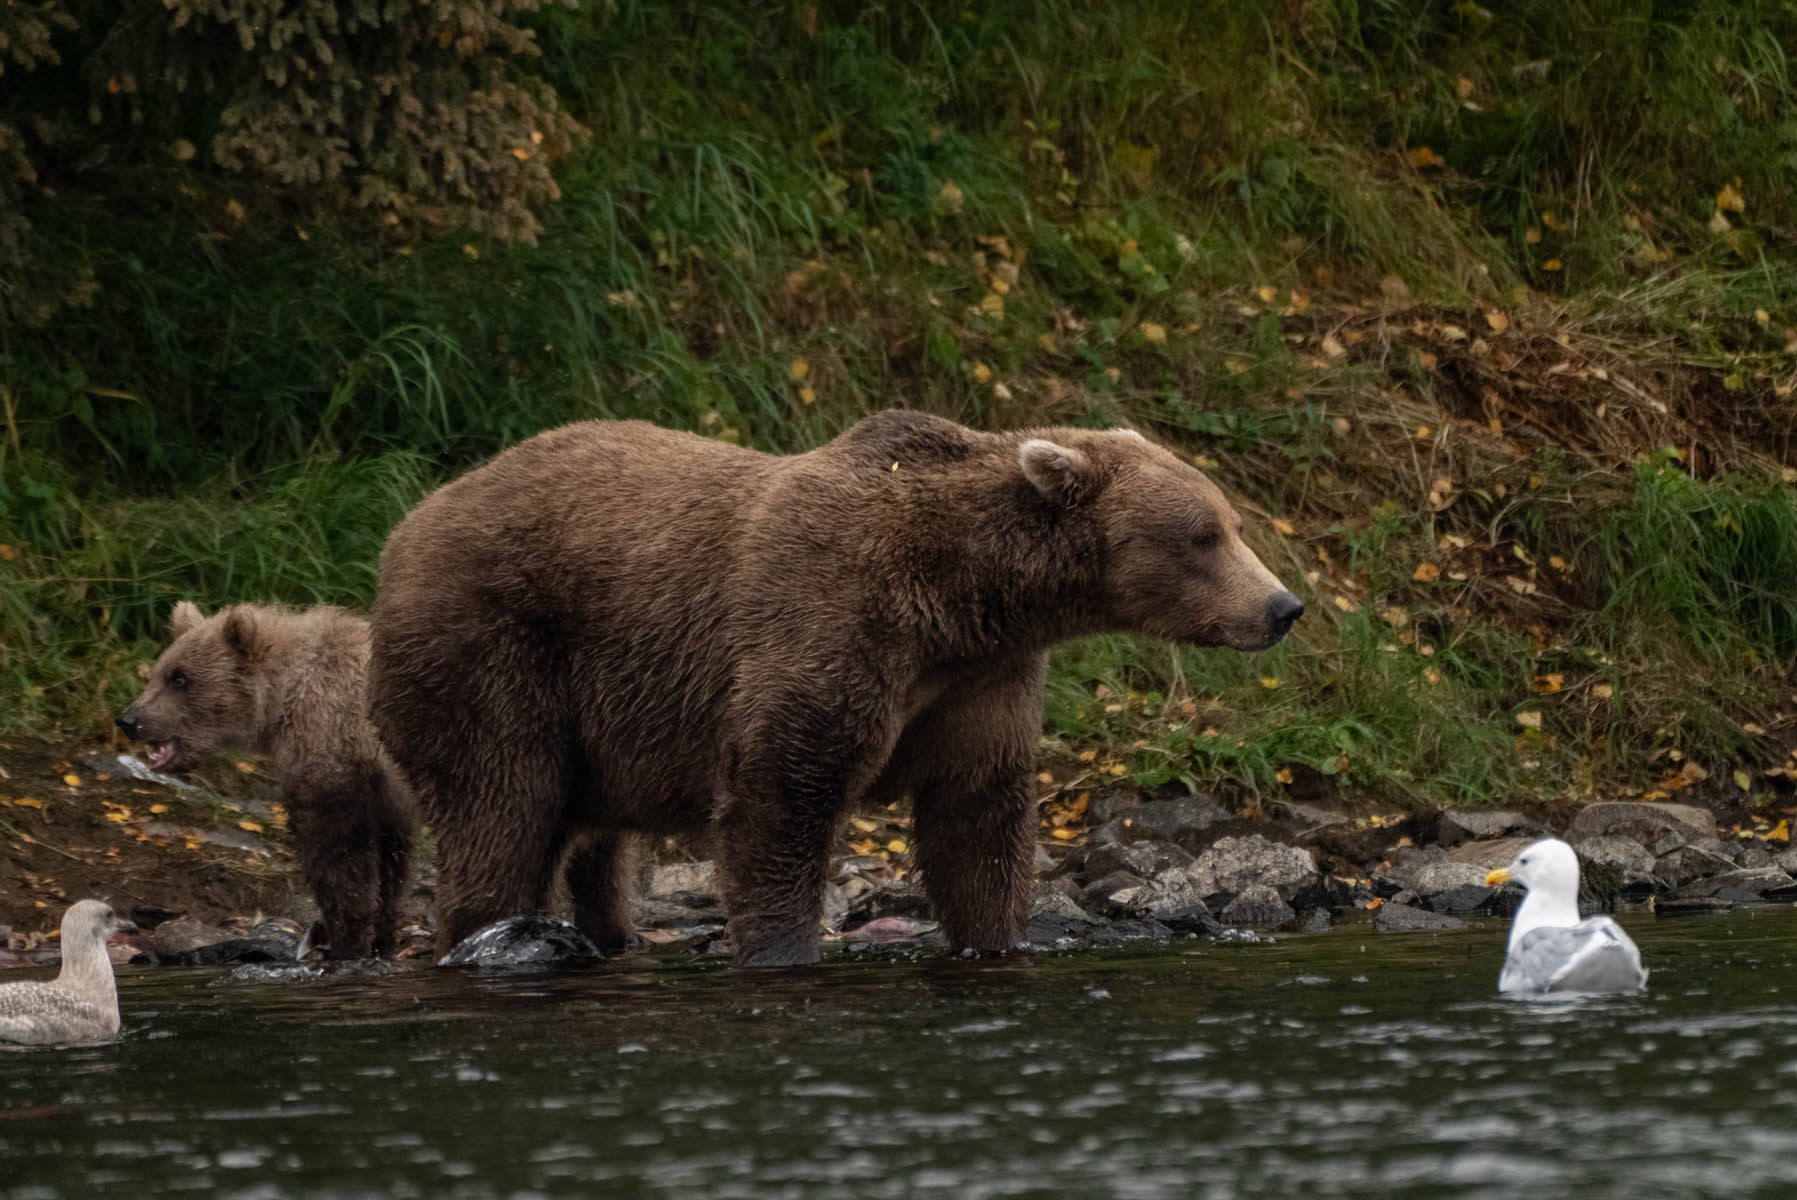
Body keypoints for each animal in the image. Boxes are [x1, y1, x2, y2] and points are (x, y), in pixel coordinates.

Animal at [117, 603, 419, 960]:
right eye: (157, 672)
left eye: (180, 677)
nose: (129, 720)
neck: (285, 695)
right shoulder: (387, 793)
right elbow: (391, 861)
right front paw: (380, 940)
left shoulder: (332, 749)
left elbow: (338, 856)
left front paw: (346, 942)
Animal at [367, 410, 1303, 966]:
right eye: (1201, 535)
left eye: (1229, 523)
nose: (1282, 606)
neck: (959, 594)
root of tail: (404, 527)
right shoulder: (825, 621)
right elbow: (781, 794)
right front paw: (781, 949)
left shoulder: (980, 682)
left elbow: (978, 819)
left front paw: (996, 937)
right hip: (496, 646)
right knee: (503, 804)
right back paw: (492, 930)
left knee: (587, 839)